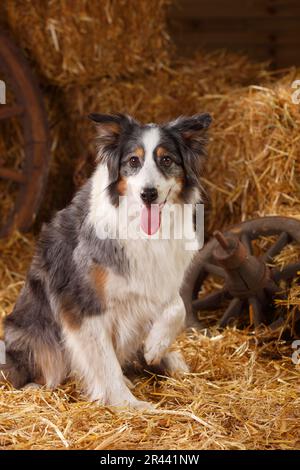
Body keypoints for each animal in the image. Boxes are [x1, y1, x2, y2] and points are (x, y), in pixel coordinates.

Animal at [0, 112, 211, 410]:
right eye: (133, 161)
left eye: (166, 160)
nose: (148, 194)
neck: (140, 227)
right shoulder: (83, 302)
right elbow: (105, 362)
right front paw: (128, 404)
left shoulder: (159, 279)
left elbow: (177, 307)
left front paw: (155, 346)